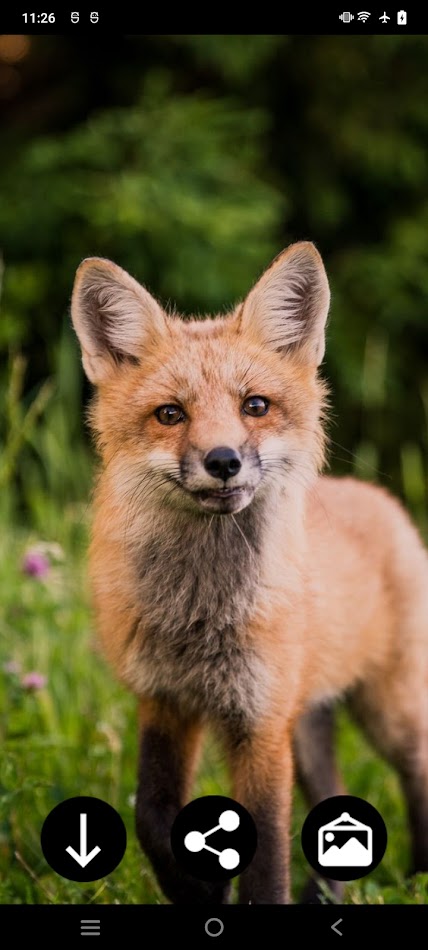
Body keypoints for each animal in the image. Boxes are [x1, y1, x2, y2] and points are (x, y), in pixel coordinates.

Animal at [71, 241, 428, 905]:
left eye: (254, 406)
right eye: (170, 414)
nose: (223, 461)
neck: (200, 616)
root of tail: (380, 498)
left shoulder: (259, 723)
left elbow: (266, 860)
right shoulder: (165, 699)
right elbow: (150, 815)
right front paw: (201, 889)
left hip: (386, 708)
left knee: (418, 770)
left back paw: (418, 875)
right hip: (306, 725)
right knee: (336, 797)